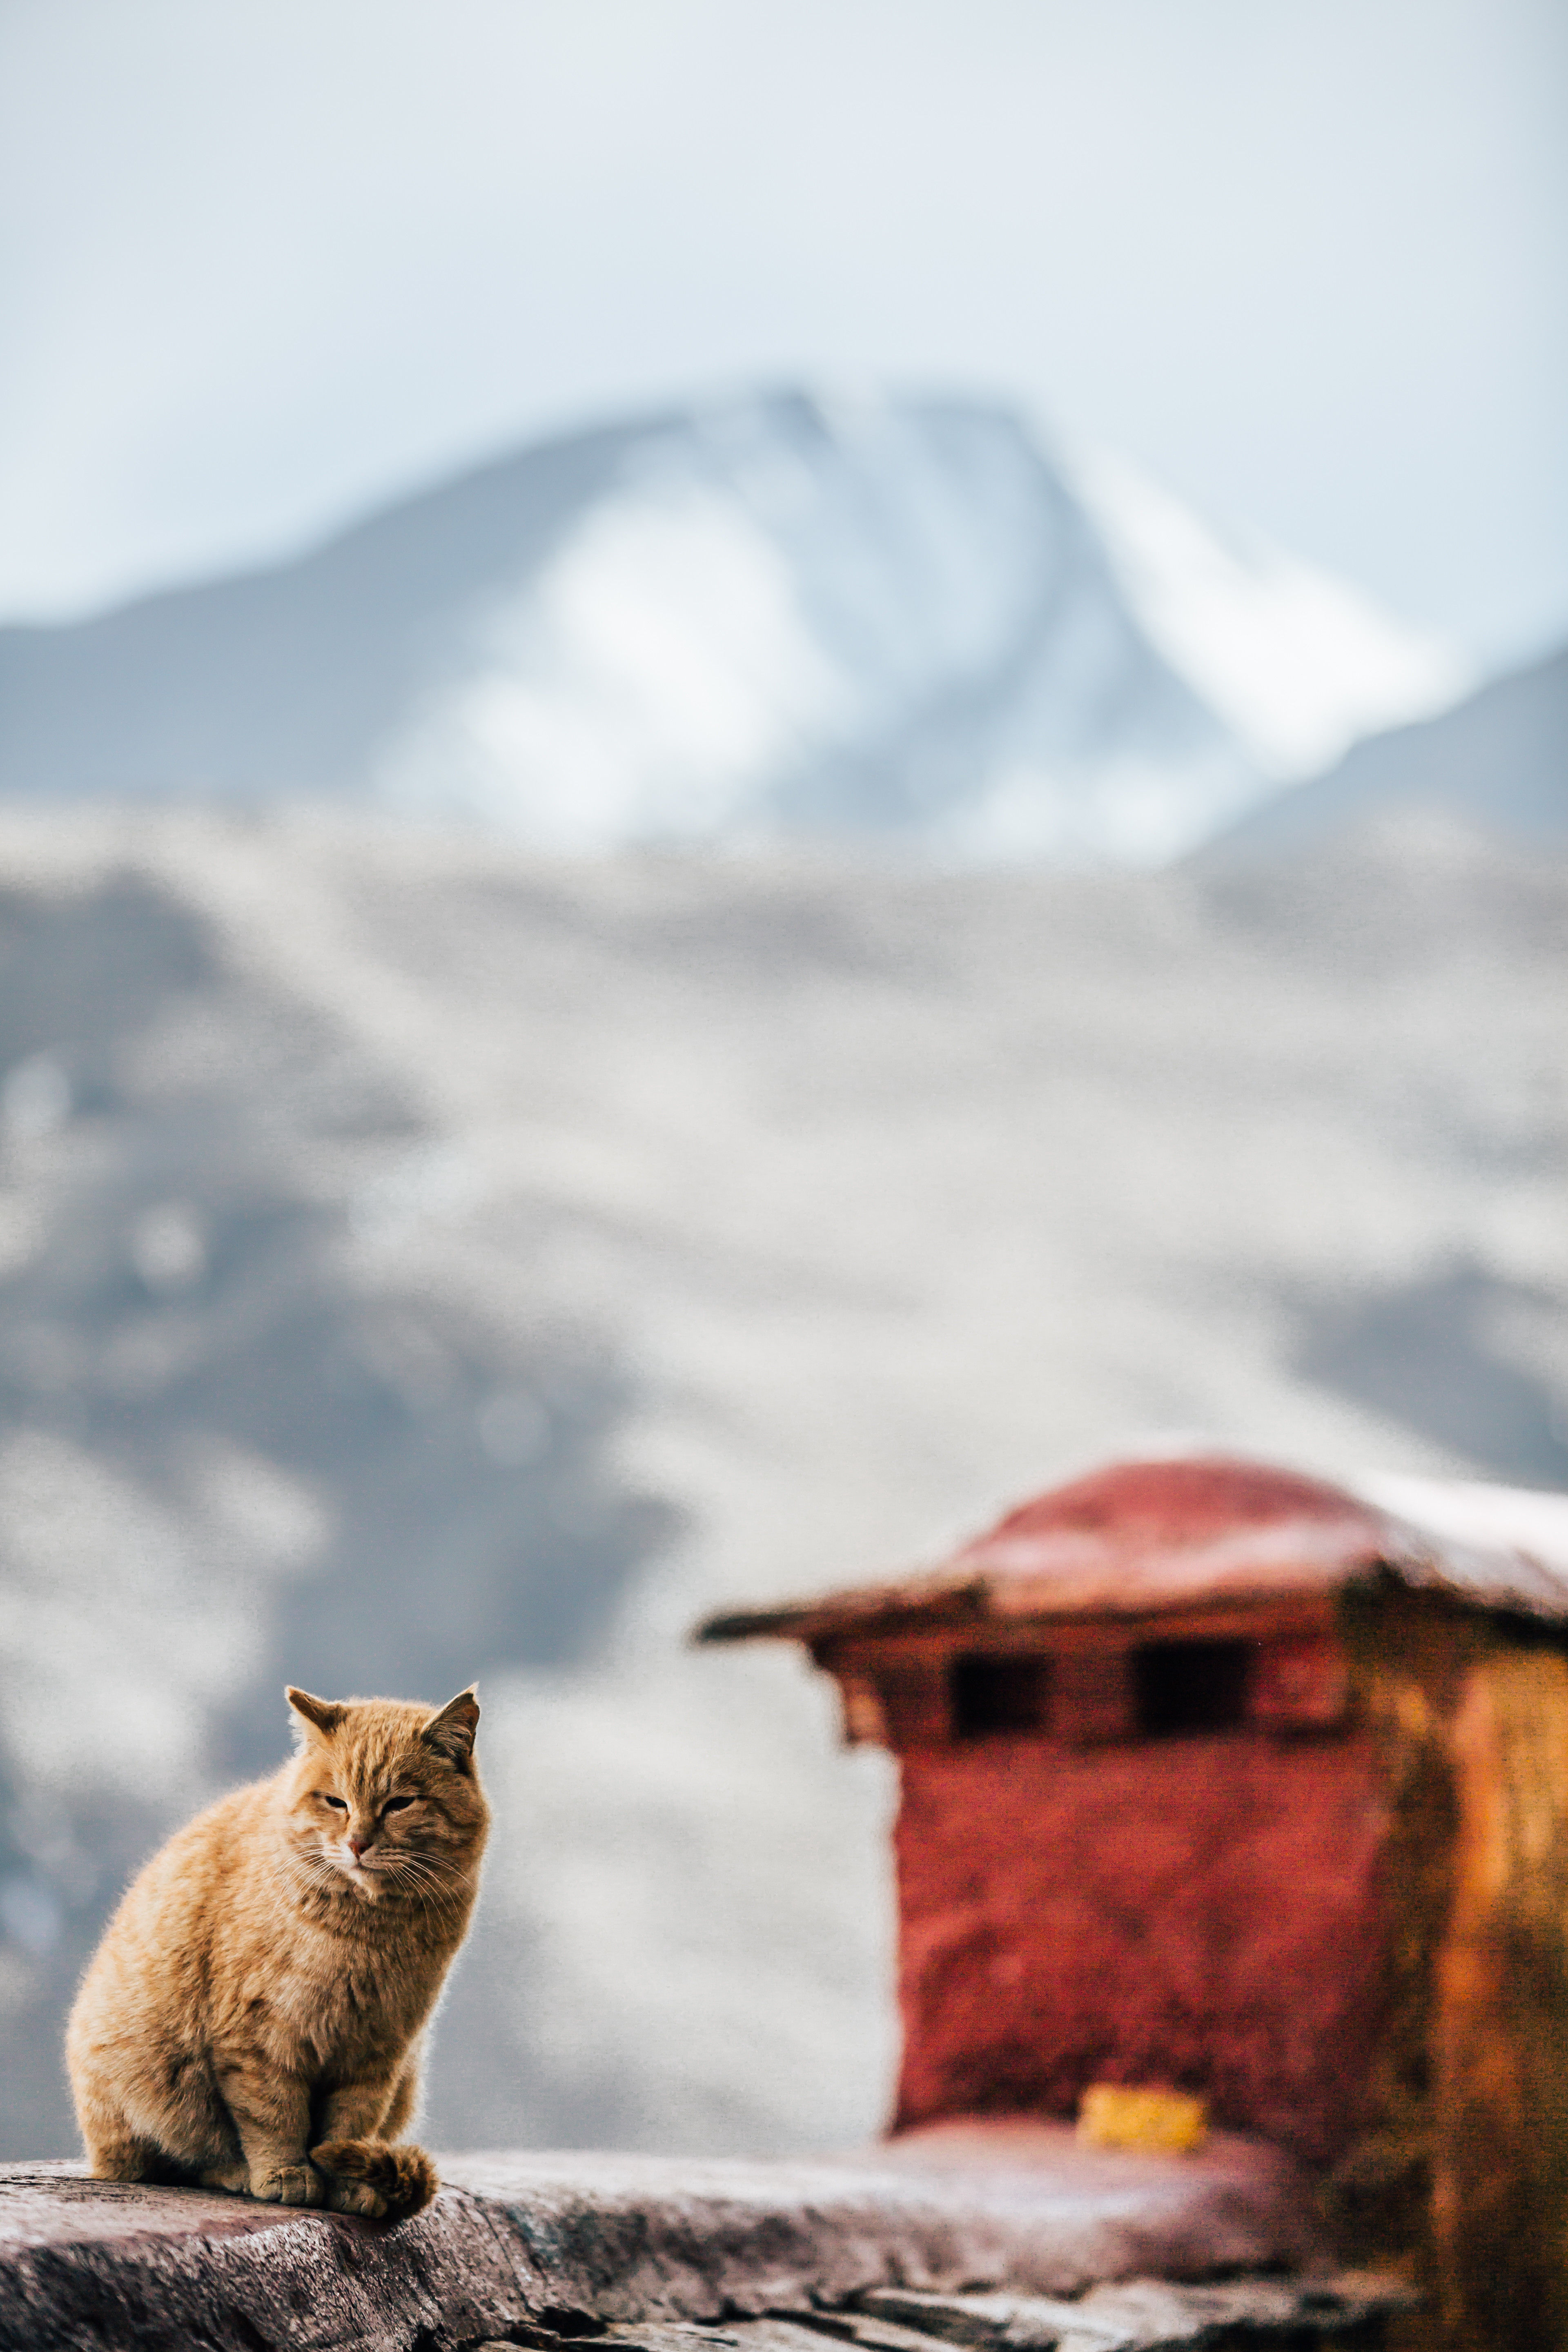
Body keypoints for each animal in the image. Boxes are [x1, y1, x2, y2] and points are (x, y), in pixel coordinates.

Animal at [67, 1684, 486, 2211]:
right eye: (336, 1802)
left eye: (401, 1803)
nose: (357, 1843)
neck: (369, 1932)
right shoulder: (259, 2037)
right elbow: (274, 2115)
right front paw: (287, 2173)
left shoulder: (378, 2053)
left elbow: (350, 2124)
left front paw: (348, 2184)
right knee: (178, 2161)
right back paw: (235, 2172)